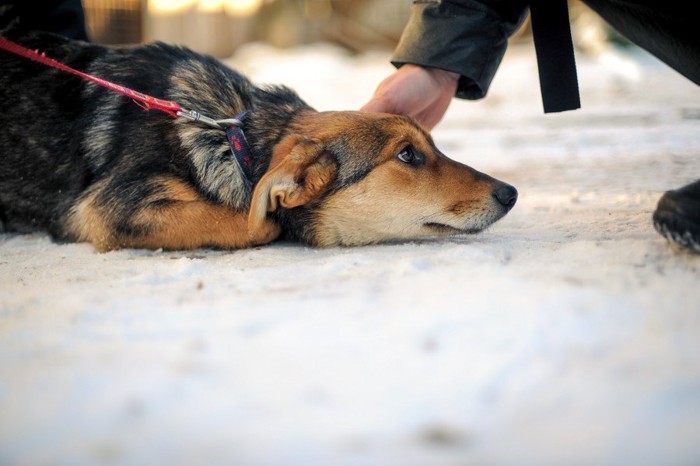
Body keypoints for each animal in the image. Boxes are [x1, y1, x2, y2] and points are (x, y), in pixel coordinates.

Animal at [0, 28, 516, 251]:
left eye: (433, 145)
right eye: (407, 155)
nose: (510, 193)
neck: (234, 140)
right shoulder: (111, 207)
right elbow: (263, 225)